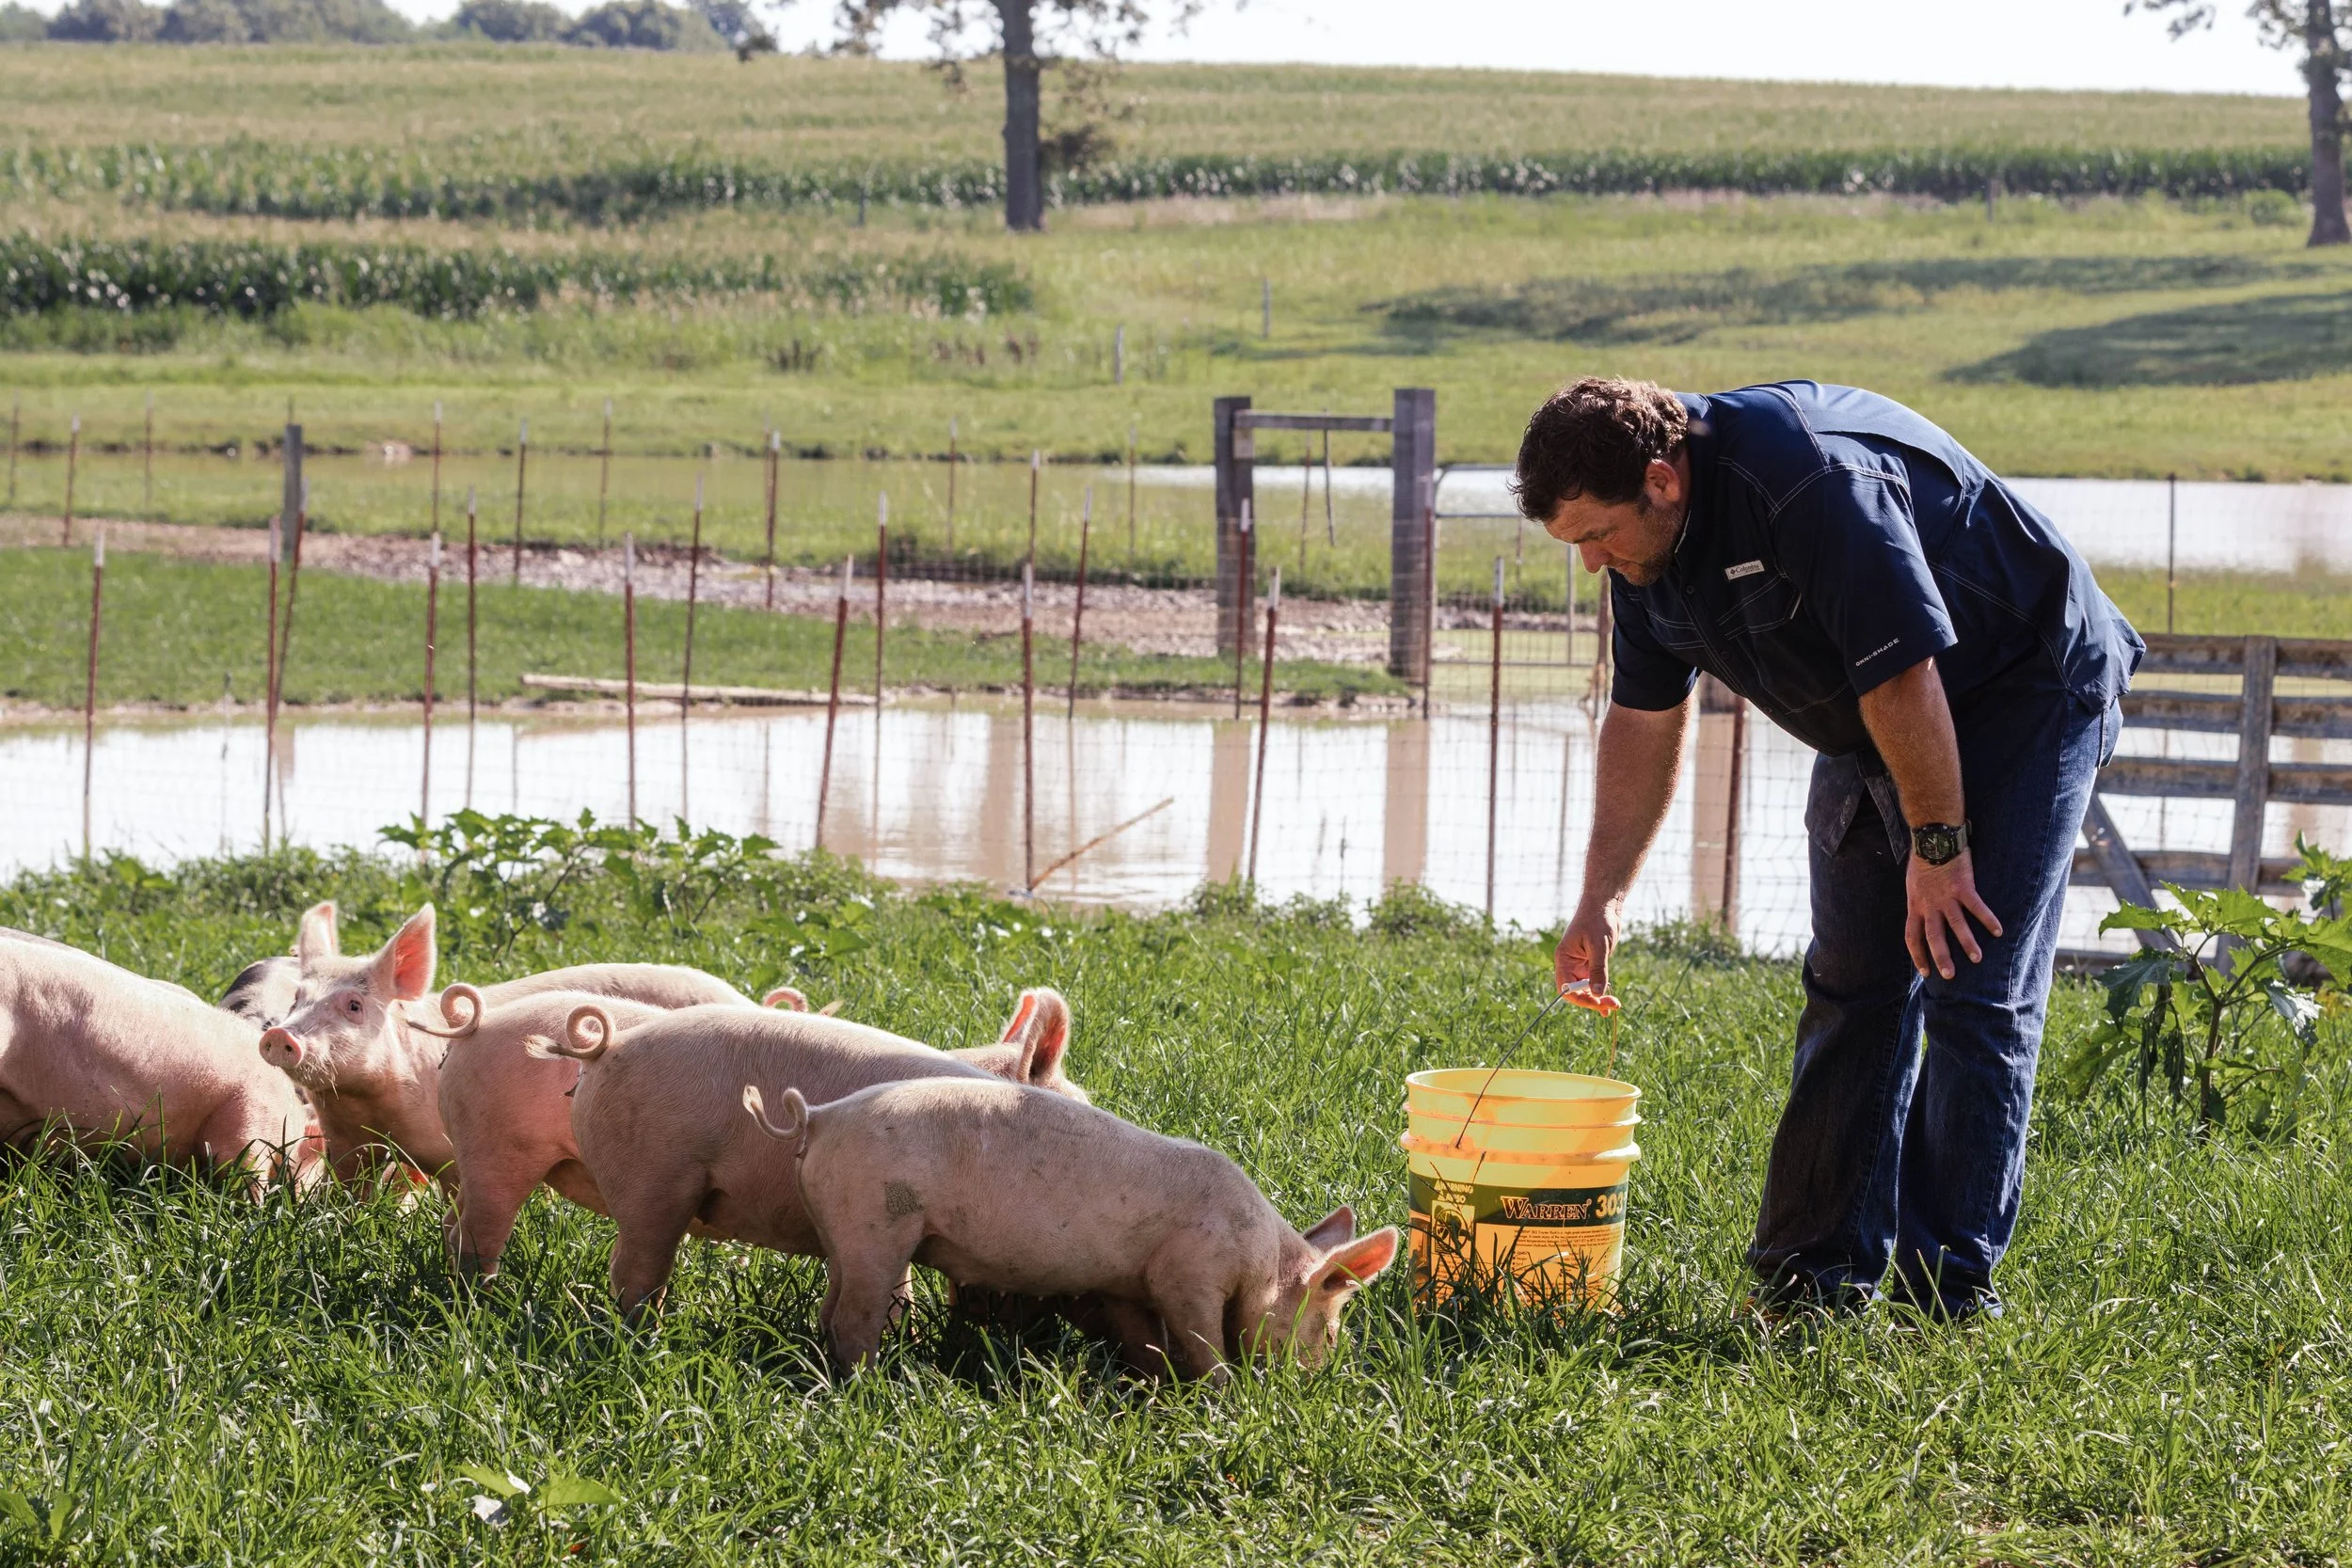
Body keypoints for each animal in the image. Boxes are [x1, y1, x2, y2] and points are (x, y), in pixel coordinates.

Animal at [744, 1079, 1396, 1381]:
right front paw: (1221, 1391)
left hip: (843, 1229)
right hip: (878, 1224)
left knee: (831, 1308)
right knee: (855, 1317)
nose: (1317, 1382)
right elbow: (1201, 1338)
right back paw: (874, 1385)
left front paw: (1150, 1385)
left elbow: (1143, 1339)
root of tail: (822, 1118)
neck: (1261, 1261)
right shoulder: (1188, 1273)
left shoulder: (1126, 1283)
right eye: (1330, 1329)